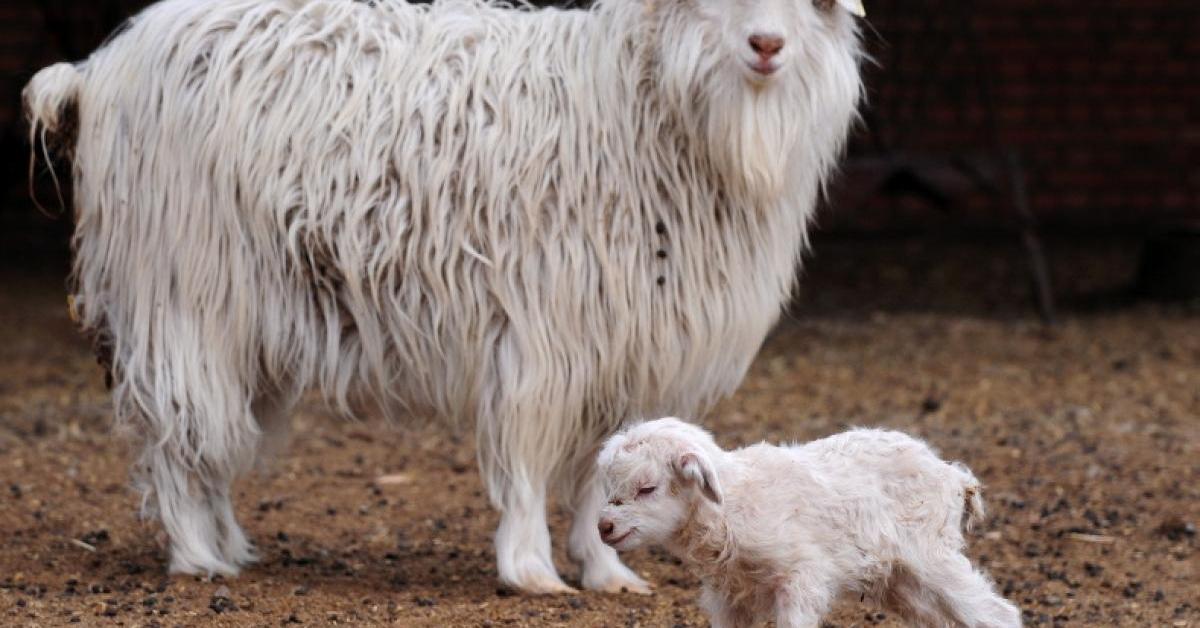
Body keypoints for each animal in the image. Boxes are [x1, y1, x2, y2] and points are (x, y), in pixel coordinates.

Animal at [18, 0, 864, 595]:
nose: (767, 47)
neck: (641, 99)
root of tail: (97, 68)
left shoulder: (618, 347)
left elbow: (603, 474)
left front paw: (606, 572)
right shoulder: (543, 333)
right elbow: (528, 457)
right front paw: (531, 570)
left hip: (246, 317)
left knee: (212, 438)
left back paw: (229, 546)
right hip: (182, 296)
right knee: (174, 432)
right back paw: (197, 558)